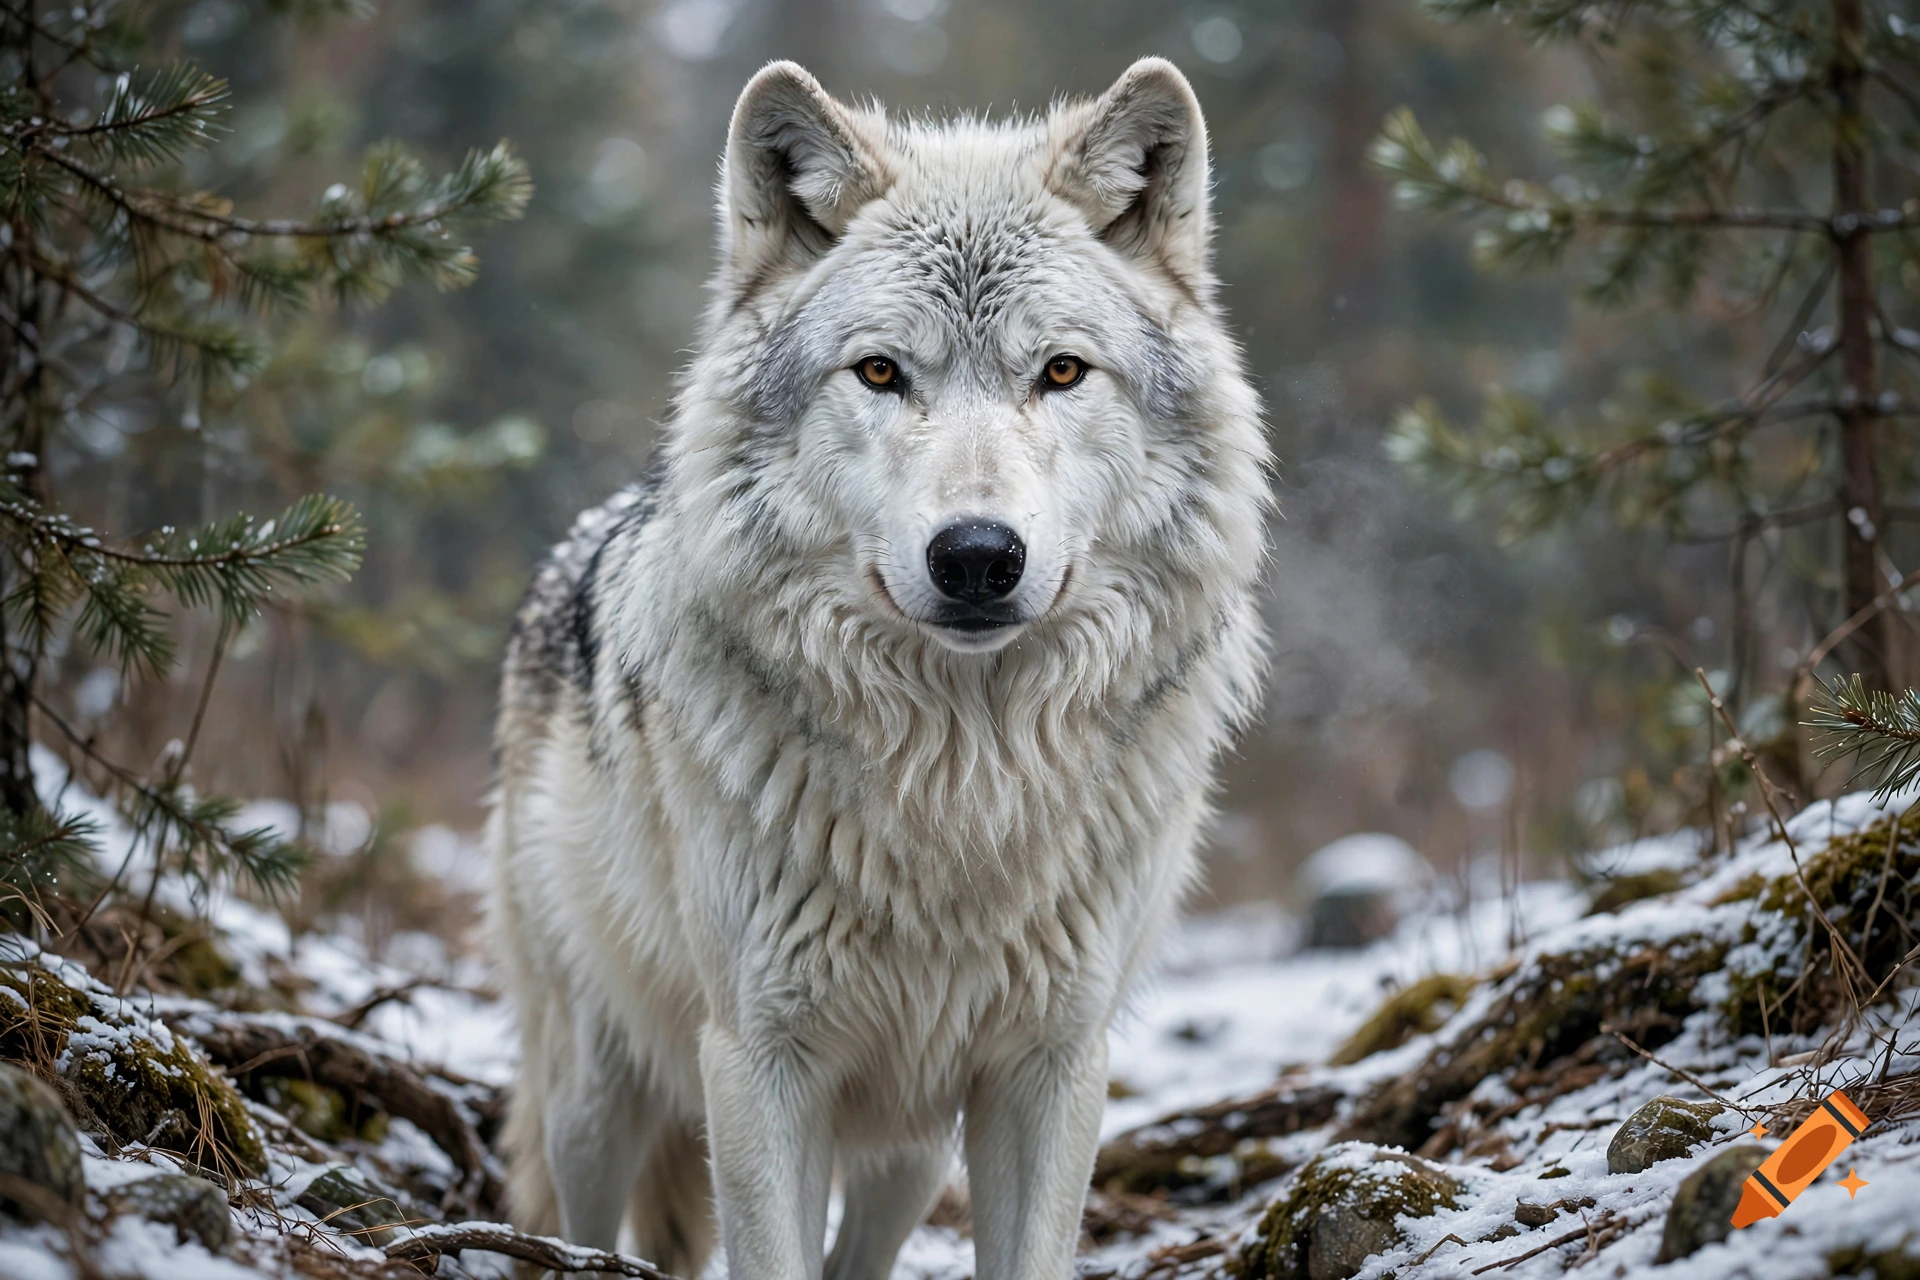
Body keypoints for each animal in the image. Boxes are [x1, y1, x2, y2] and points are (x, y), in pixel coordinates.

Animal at [486, 56, 1270, 1280]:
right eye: (880, 371)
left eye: (1061, 370)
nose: (979, 556)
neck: (961, 782)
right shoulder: (758, 1059)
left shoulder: (1052, 1063)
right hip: (595, 1082)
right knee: (577, 1216)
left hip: (907, 1147)